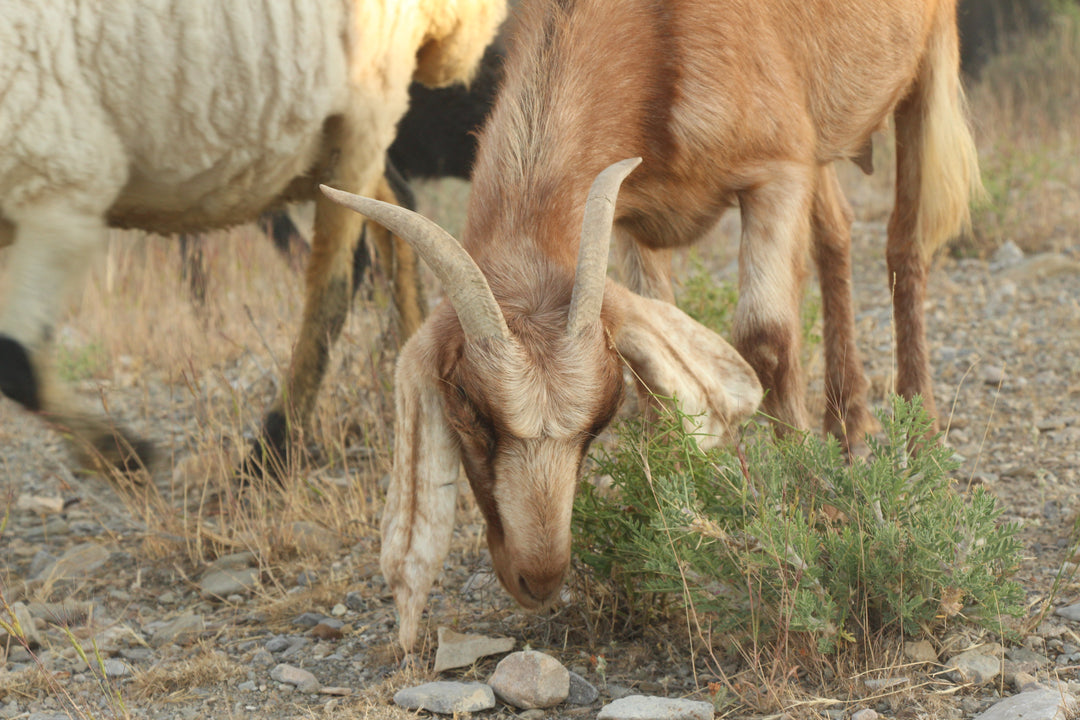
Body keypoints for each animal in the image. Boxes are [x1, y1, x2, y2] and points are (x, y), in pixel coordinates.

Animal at [324, 0, 984, 651]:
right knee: (836, 233)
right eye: (469, 412)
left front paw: (800, 520)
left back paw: (919, 430)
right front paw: (676, 540)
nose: (538, 578)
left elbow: (766, 340)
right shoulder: (633, 212)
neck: (654, 29)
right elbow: (660, 382)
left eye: (597, 422)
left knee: (903, 242)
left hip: (923, 73)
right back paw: (848, 424)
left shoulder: (777, 170)